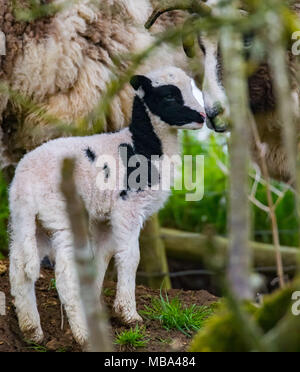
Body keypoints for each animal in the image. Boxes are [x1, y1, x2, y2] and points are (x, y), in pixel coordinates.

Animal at [8, 66, 206, 346]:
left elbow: (101, 258)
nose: (202, 117)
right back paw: (82, 334)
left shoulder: (103, 217)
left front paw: (96, 305)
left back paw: (32, 331)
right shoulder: (128, 207)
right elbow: (130, 257)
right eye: (168, 95)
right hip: (61, 216)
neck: (144, 144)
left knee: (19, 270)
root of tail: (25, 182)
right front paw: (128, 315)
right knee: (65, 275)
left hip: (28, 222)